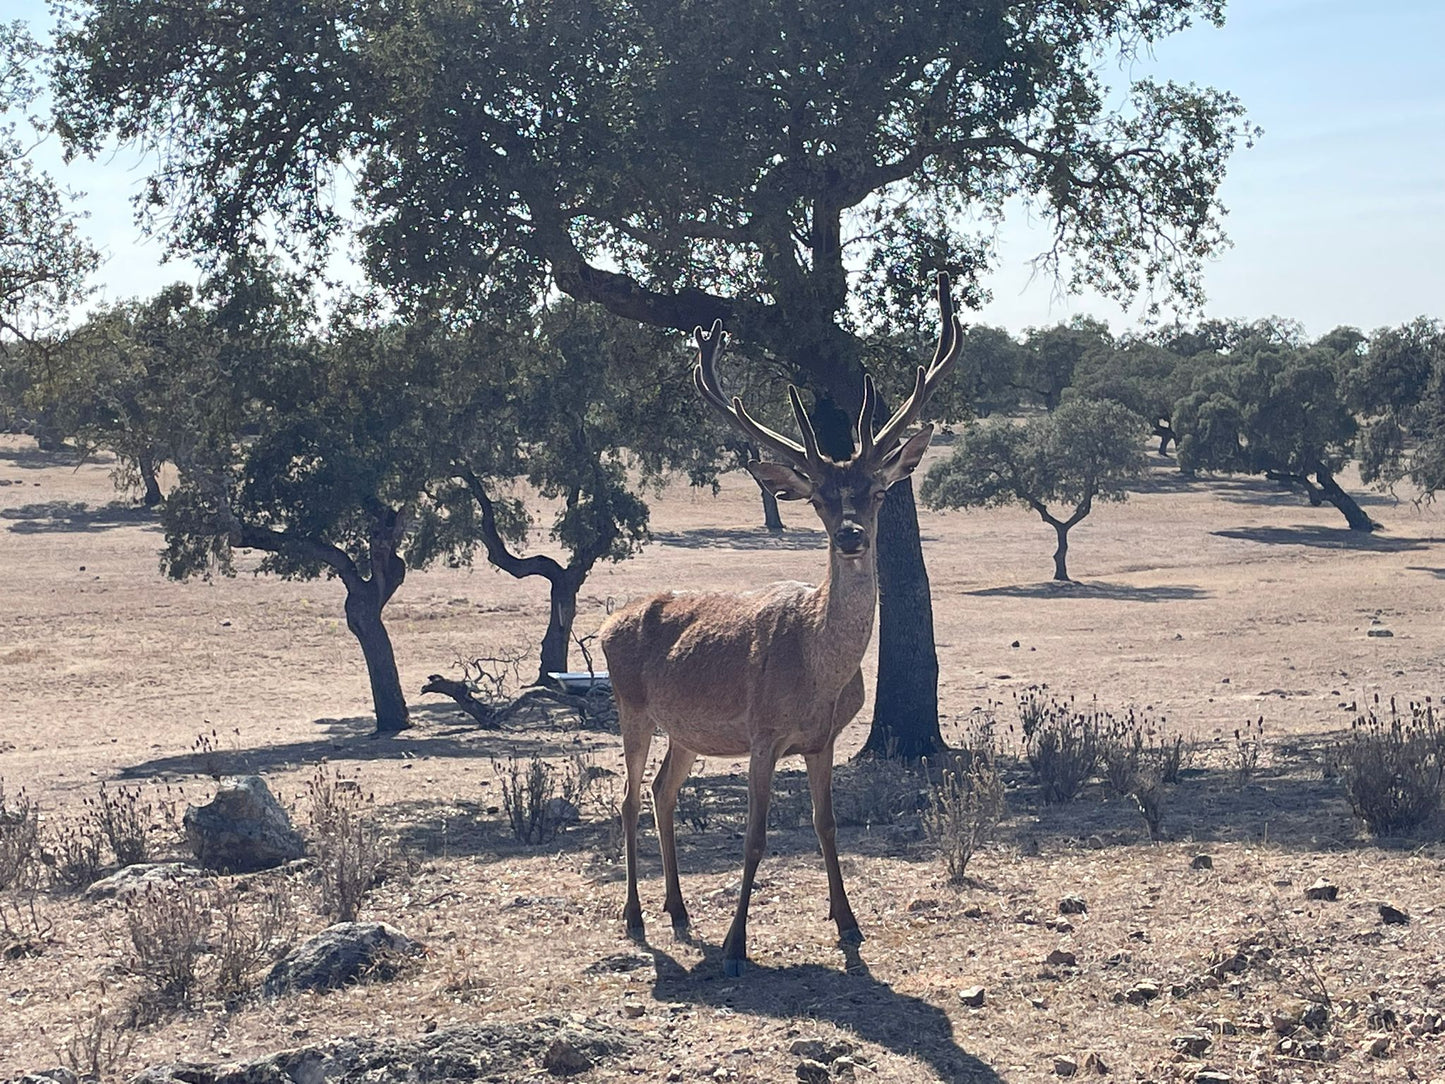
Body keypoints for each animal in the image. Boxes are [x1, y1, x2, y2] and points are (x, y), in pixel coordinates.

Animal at [598, 271, 959, 977]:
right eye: (818, 497)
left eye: (878, 490)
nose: (851, 535)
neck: (819, 673)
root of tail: (607, 624)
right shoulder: (763, 734)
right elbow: (757, 837)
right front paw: (737, 945)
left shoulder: (822, 741)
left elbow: (826, 825)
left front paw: (848, 924)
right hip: (631, 707)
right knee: (626, 797)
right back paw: (634, 918)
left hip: (687, 730)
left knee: (661, 792)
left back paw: (679, 913)